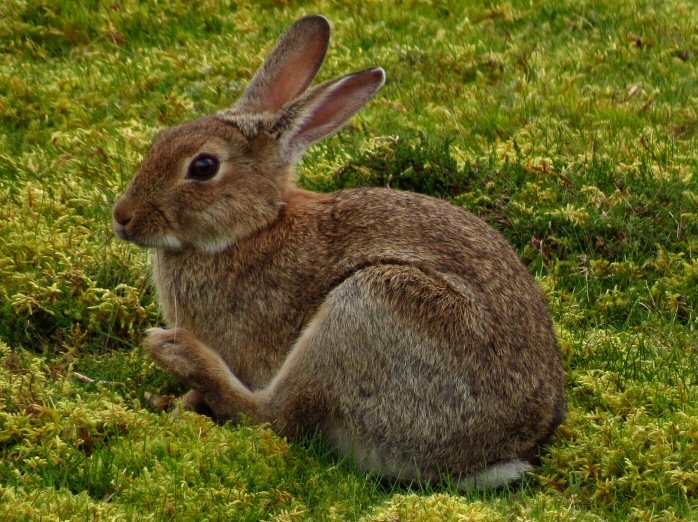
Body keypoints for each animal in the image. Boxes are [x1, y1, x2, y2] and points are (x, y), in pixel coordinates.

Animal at [111, 15, 564, 488]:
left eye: (203, 166)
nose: (122, 217)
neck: (253, 227)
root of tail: (494, 453)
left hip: (368, 307)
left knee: (275, 415)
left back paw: (173, 350)